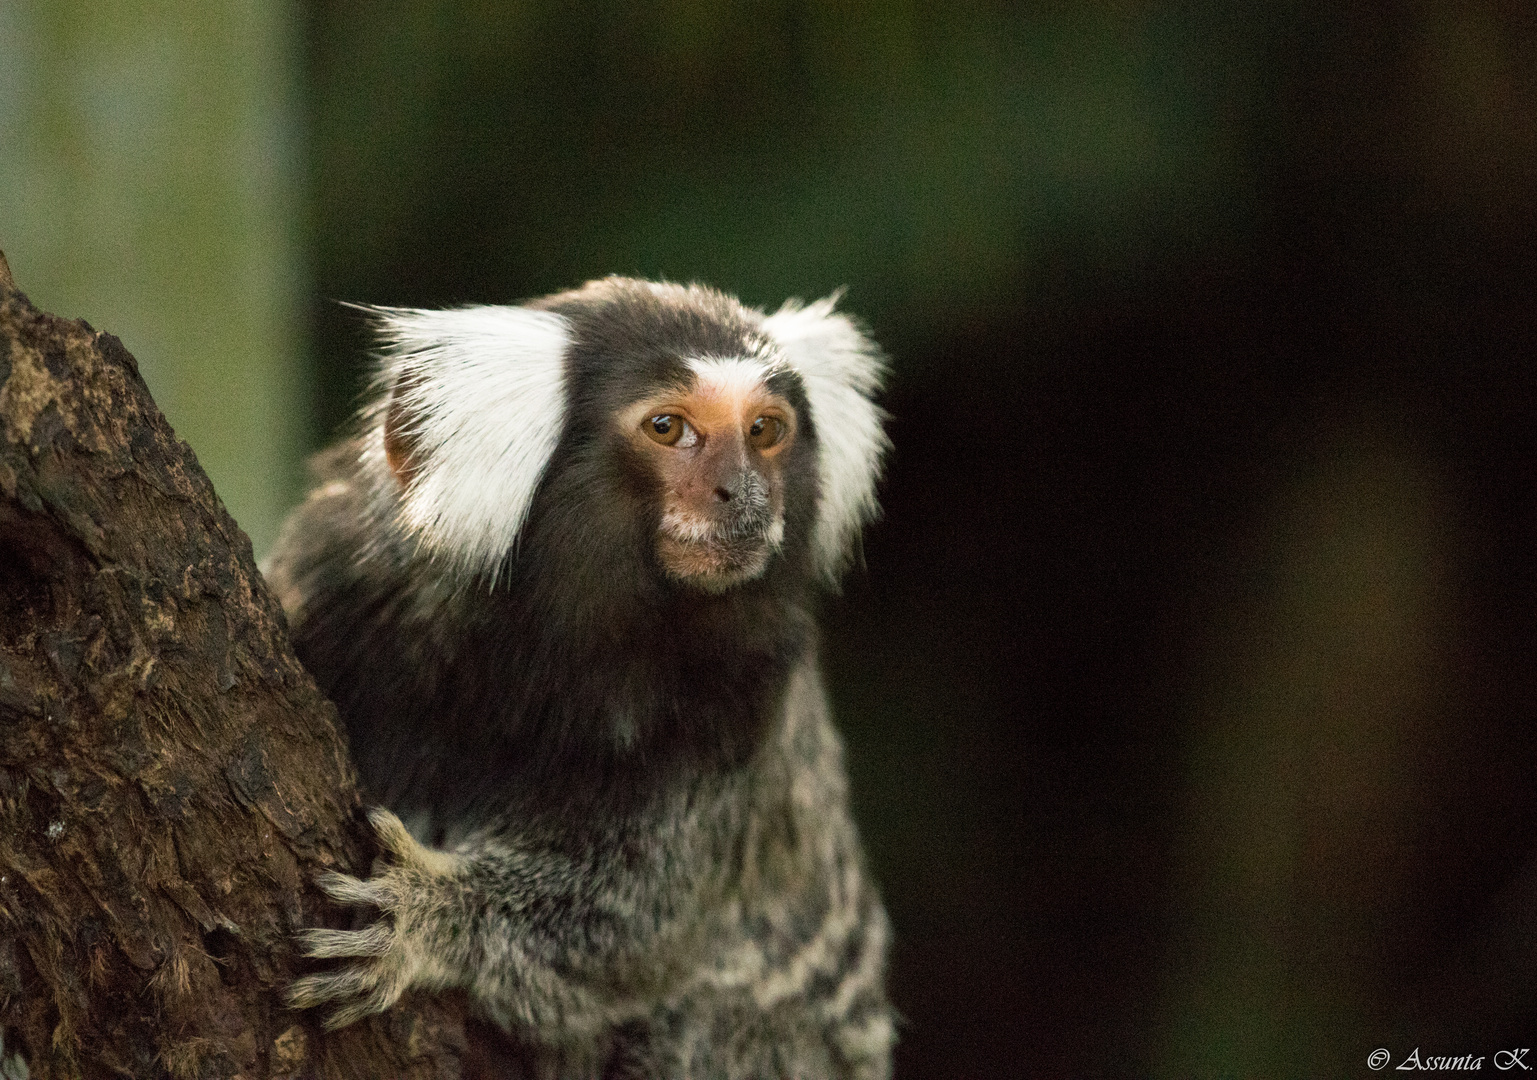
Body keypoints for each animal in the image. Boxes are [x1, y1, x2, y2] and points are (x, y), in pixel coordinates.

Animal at [264, 274, 891, 1075]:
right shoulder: (336, 573)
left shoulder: (744, 697)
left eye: (763, 431)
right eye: (668, 428)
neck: (530, 649)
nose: (745, 494)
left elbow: (633, 924)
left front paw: (430, 914)